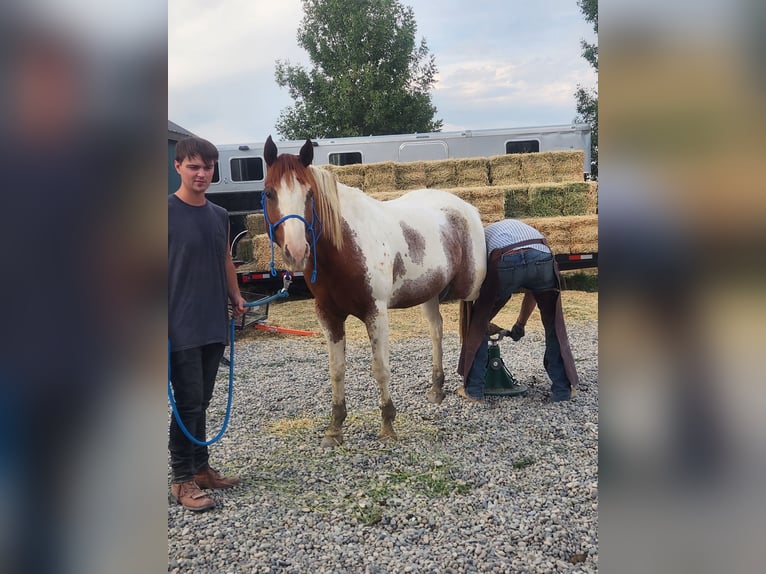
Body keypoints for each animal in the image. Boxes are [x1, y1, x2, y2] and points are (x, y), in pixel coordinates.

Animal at [258, 136, 486, 450]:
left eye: (310, 194)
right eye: (269, 193)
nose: (297, 251)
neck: (346, 248)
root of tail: (466, 207)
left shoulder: (375, 312)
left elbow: (380, 368)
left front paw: (388, 426)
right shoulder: (328, 316)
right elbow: (336, 370)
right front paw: (335, 429)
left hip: (471, 290)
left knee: (475, 330)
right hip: (429, 293)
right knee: (437, 331)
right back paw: (436, 389)